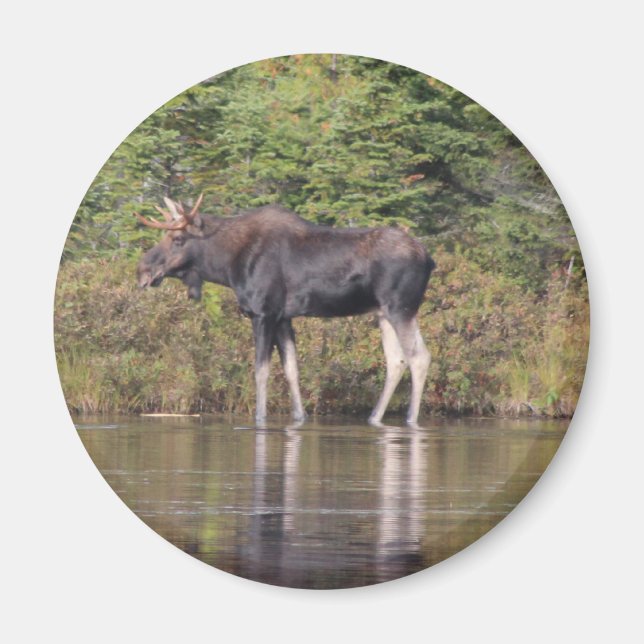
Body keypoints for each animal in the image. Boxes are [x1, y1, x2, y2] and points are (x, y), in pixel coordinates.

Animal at [135, 195, 435, 427]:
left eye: (178, 238)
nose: (143, 271)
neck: (227, 266)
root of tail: (430, 259)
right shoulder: (284, 317)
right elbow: (292, 369)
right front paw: (299, 417)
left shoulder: (263, 312)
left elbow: (261, 370)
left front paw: (259, 418)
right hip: (383, 313)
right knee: (396, 360)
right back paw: (374, 417)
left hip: (401, 307)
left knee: (419, 356)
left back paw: (411, 419)